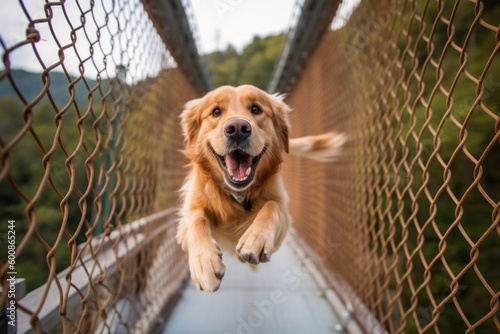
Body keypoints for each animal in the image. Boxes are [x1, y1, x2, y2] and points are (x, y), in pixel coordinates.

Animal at [176, 85, 344, 290]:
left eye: (255, 109)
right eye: (216, 111)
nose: (238, 129)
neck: (238, 194)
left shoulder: (283, 216)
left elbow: (272, 206)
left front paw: (255, 238)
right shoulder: (188, 212)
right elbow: (197, 218)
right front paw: (204, 262)